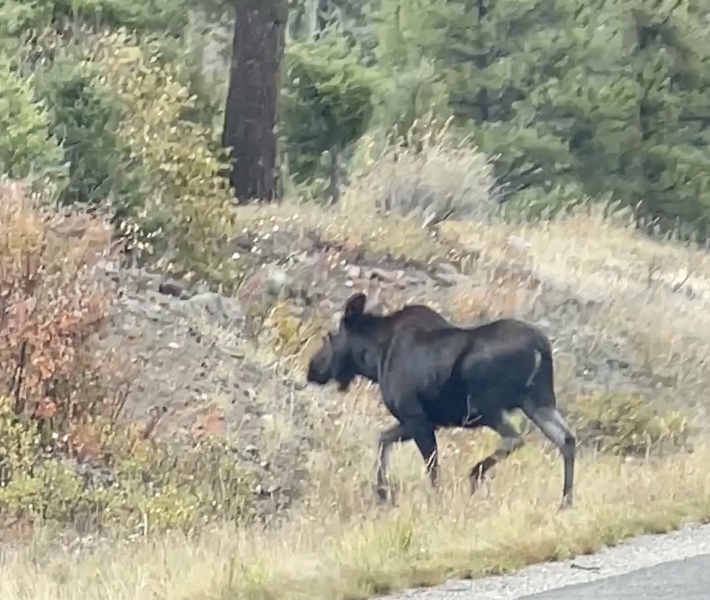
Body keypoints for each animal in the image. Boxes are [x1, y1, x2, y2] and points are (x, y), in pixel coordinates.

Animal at [308, 292, 580, 508]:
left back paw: (475, 476)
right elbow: (384, 439)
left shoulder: (415, 417)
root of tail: (540, 347)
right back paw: (565, 502)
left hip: (484, 406)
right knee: (566, 439)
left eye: (329, 337)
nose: (312, 368)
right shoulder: (426, 420)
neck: (374, 360)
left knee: (515, 438)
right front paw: (382, 494)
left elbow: (432, 468)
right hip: (539, 402)